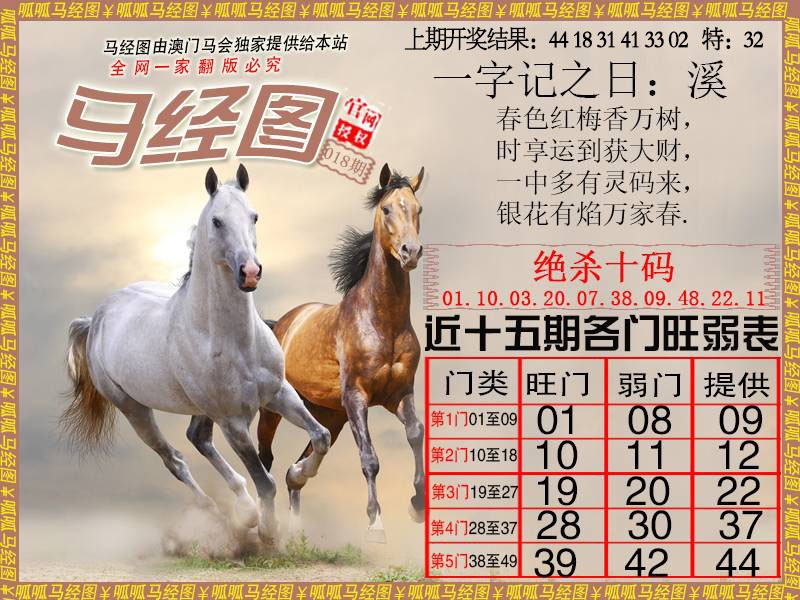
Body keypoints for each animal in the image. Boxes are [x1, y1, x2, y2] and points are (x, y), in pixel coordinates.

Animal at [63, 165, 331, 543]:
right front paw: (268, 531)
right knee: (174, 459)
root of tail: (96, 317)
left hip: (200, 409)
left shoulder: (278, 393)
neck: (235, 341)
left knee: (197, 438)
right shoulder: (233, 422)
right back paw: (225, 516)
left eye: (254, 216)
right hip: (134, 409)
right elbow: (265, 480)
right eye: (217, 221)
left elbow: (320, 437)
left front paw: (298, 474)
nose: (250, 272)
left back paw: (243, 509)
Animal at [256, 163, 425, 543]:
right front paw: (376, 524)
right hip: (275, 409)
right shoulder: (357, 397)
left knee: (298, 465)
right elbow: (370, 458)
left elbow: (415, 434)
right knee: (265, 458)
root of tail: (280, 324)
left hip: (329, 414)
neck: (382, 321)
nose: (410, 252)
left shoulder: (399, 395)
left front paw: (417, 505)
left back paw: (297, 509)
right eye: (386, 209)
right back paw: (264, 524)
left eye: (418, 209)